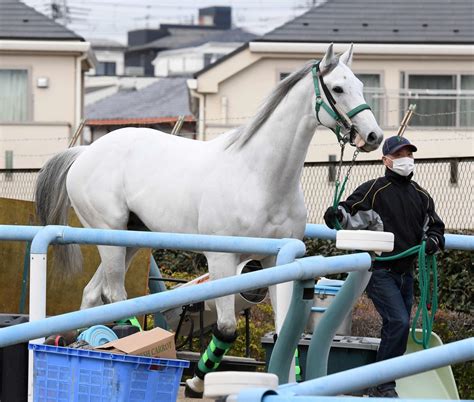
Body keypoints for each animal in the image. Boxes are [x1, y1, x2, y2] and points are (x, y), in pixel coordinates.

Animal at [35, 44, 384, 392]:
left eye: (361, 85)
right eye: (337, 88)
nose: (373, 136)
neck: (260, 177)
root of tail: (85, 152)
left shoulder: (275, 261)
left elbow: (285, 329)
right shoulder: (222, 260)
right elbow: (227, 327)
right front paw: (195, 383)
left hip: (130, 240)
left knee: (92, 294)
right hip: (111, 237)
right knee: (115, 296)